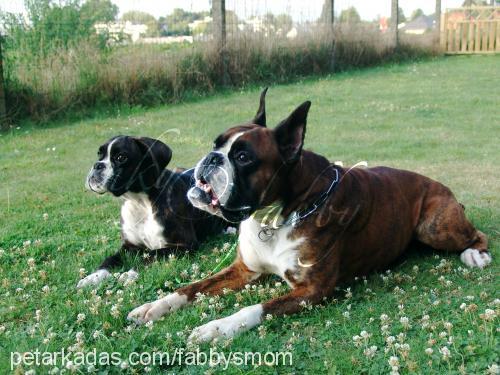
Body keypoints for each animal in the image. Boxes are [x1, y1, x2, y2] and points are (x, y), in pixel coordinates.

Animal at [78, 135, 230, 288]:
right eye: (99, 154)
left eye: (121, 157)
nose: (97, 165)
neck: (139, 201)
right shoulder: (129, 247)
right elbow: (110, 260)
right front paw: (93, 277)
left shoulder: (183, 245)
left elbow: (151, 255)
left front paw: (129, 274)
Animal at [127, 90, 490, 344]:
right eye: (216, 144)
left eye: (243, 157)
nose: (212, 158)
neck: (272, 219)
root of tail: (439, 185)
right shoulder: (243, 270)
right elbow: (192, 288)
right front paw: (153, 307)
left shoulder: (312, 290)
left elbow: (255, 308)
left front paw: (216, 328)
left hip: (434, 225)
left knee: (478, 235)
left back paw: (475, 255)